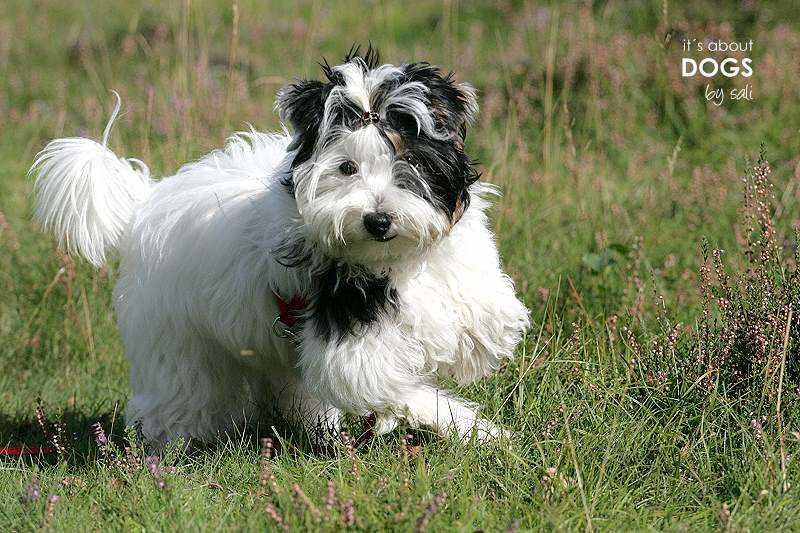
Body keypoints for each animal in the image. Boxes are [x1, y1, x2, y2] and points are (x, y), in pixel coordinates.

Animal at [29, 50, 532, 446]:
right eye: (346, 168)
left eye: (406, 159)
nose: (377, 219)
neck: (390, 260)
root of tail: (145, 201)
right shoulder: (347, 342)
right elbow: (391, 386)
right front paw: (475, 429)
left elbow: (486, 319)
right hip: (176, 340)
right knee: (183, 390)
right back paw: (171, 447)